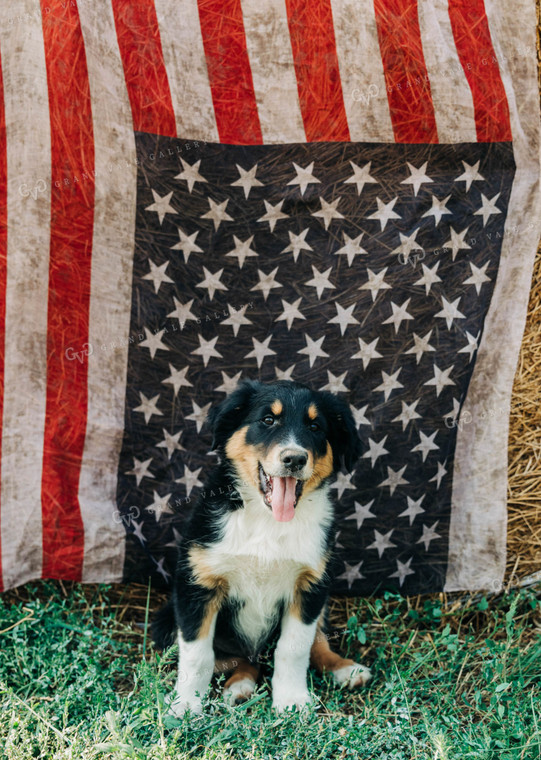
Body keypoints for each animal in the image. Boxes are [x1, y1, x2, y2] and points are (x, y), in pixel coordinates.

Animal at [152, 382, 372, 716]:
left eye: (315, 427)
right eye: (268, 420)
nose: (294, 459)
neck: (268, 520)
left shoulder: (310, 585)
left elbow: (295, 648)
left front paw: (291, 701)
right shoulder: (197, 585)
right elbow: (197, 655)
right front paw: (186, 705)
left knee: (316, 641)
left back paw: (344, 669)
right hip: (166, 621)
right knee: (240, 659)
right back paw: (239, 687)